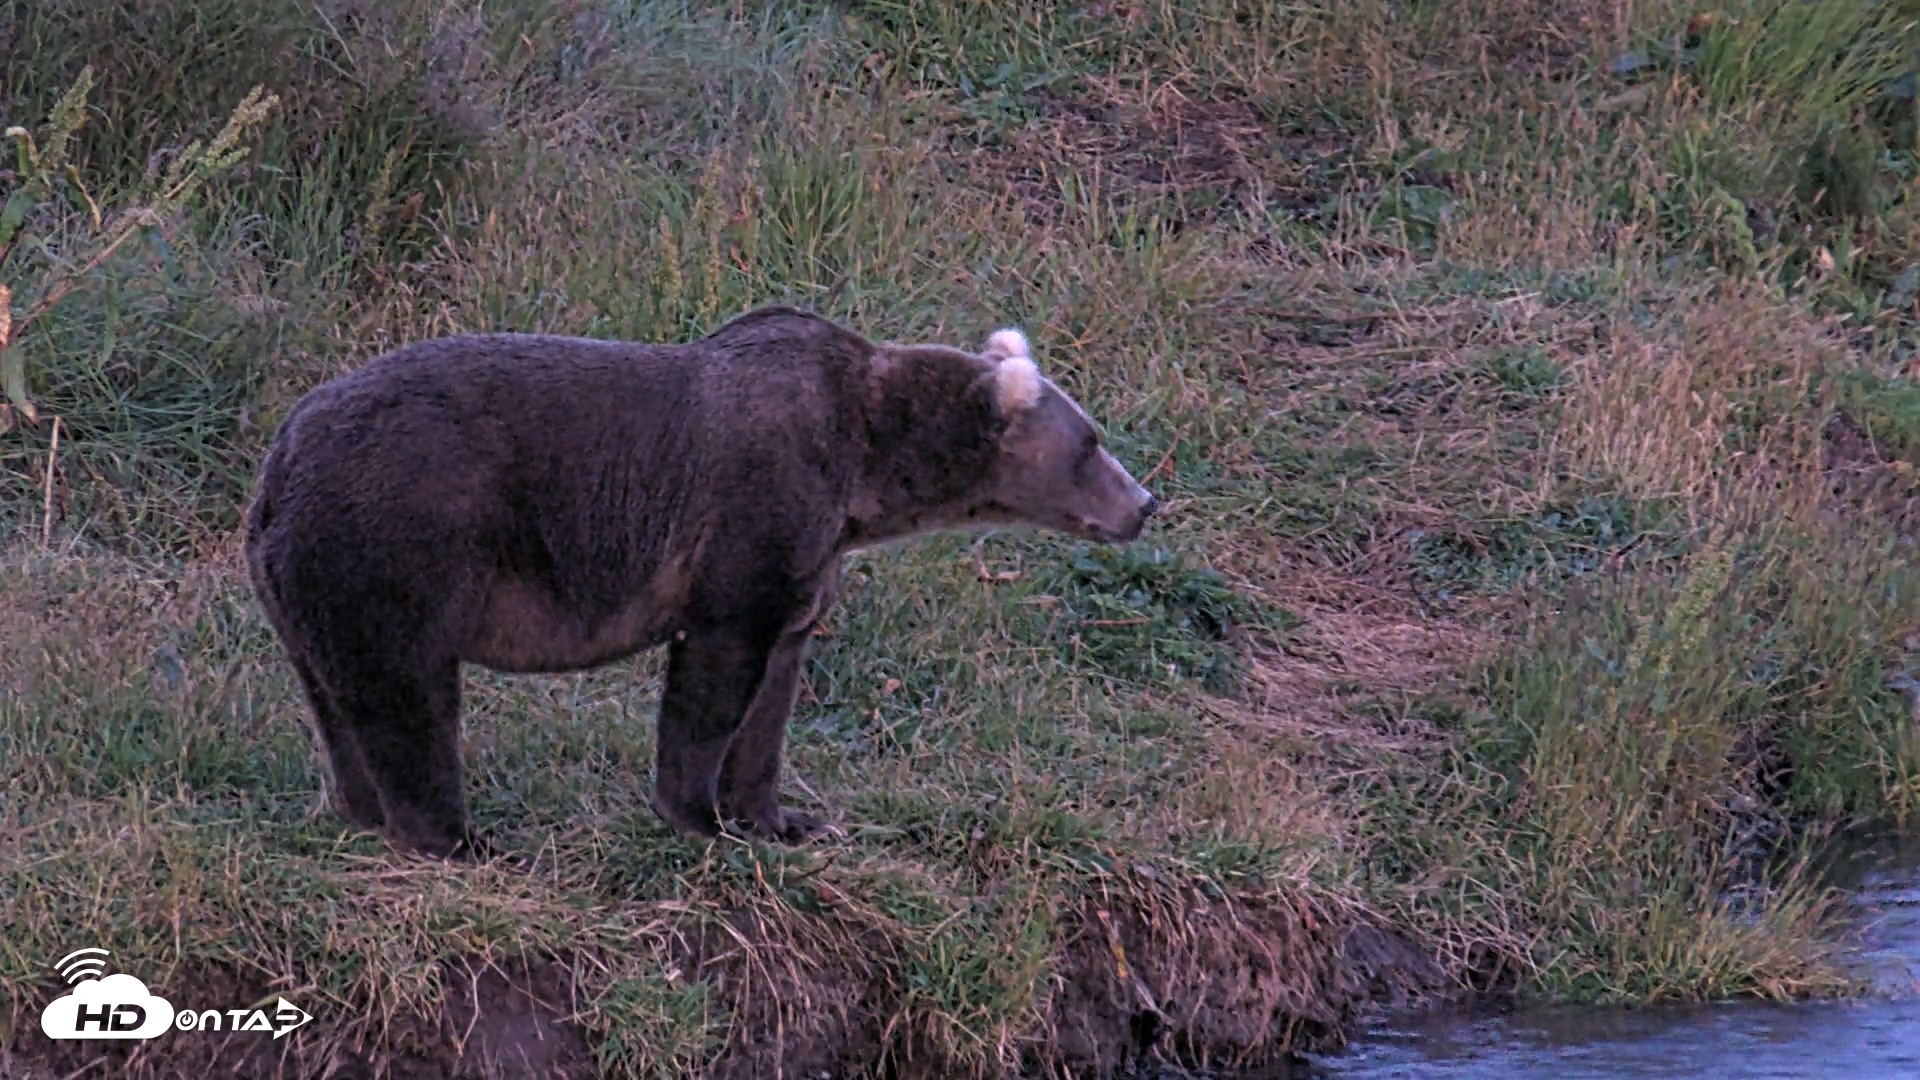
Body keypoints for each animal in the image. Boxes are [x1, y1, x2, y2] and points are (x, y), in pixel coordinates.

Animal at [242, 305, 1159, 859]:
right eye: (1091, 442)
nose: (1145, 504)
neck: (865, 467)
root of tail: (277, 463)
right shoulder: (755, 508)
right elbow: (717, 672)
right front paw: (699, 815)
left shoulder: (812, 556)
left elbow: (778, 688)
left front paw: (783, 818)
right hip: (397, 541)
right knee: (408, 696)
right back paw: (459, 839)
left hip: (302, 582)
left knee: (337, 697)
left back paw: (360, 807)